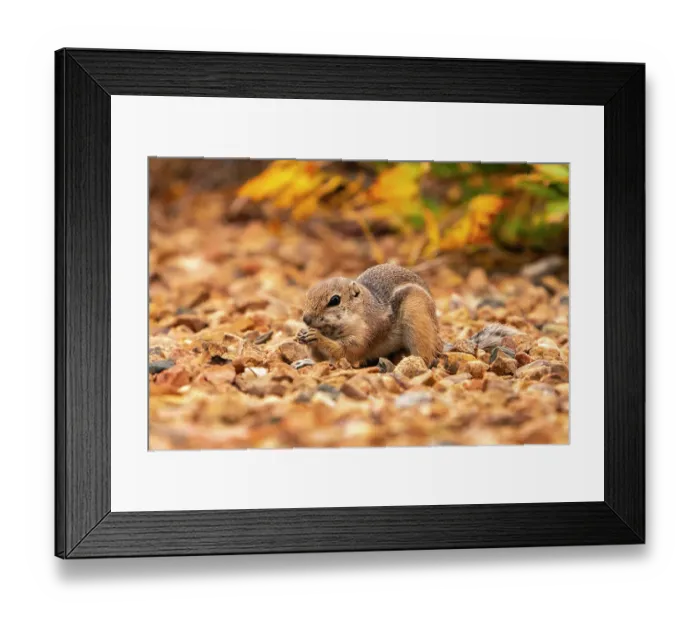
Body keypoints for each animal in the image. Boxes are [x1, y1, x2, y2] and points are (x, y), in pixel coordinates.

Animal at [296, 263, 443, 366]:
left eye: (335, 300)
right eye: (307, 296)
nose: (306, 319)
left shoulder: (365, 335)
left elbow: (345, 351)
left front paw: (317, 337)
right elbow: (320, 358)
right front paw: (301, 334)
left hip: (417, 323)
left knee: (426, 357)